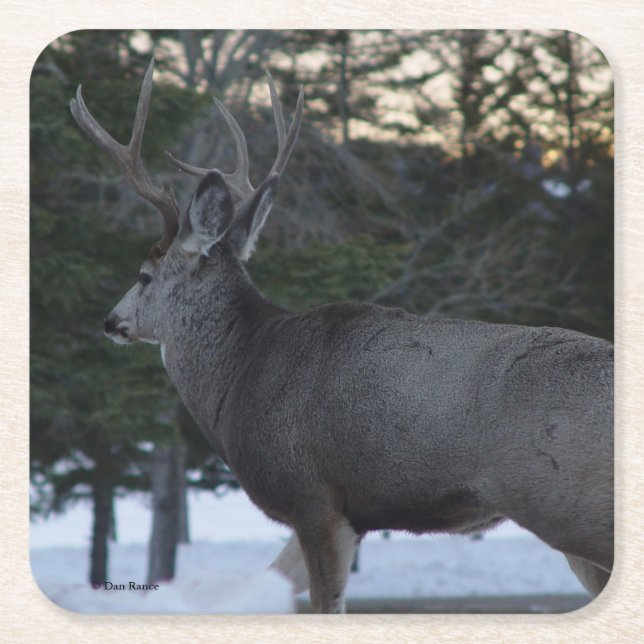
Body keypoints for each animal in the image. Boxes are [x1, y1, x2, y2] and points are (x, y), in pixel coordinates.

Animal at [70, 60, 613, 613]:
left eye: (143, 276)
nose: (111, 321)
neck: (241, 371)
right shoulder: (343, 515)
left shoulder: (312, 497)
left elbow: (324, 605)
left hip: (571, 502)